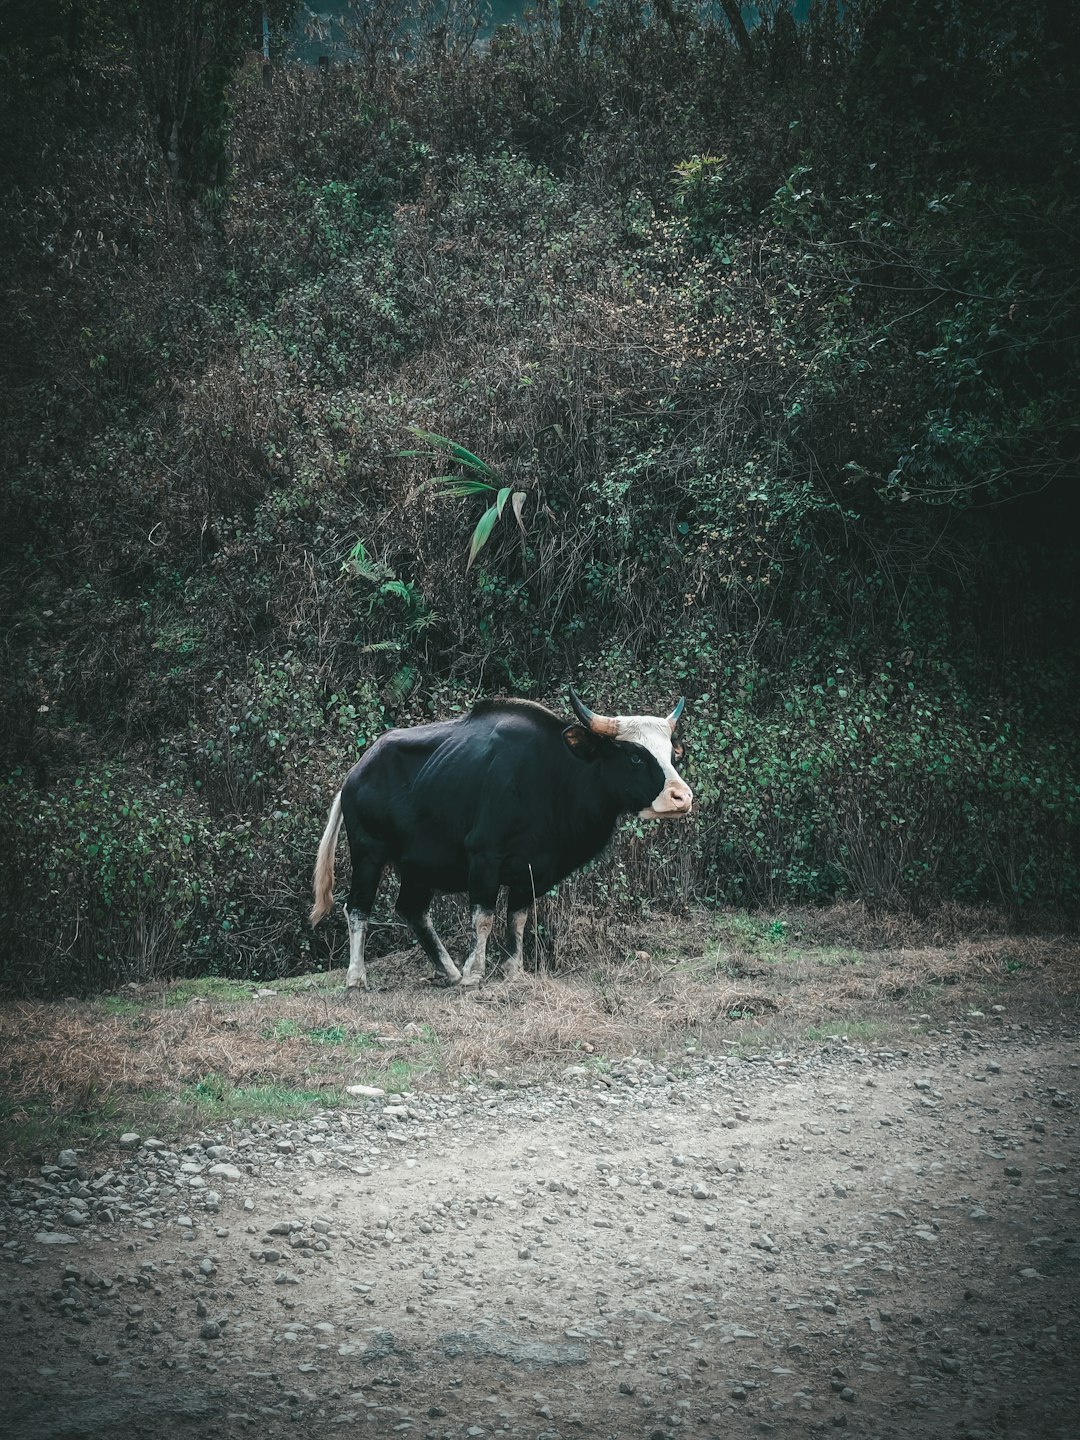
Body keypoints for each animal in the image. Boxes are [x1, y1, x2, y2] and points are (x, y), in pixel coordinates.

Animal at [309, 688, 692, 990]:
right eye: (635, 756)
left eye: (671, 755)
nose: (682, 798)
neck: (553, 777)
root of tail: (355, 774)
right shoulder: (484, 858)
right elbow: (484, 917)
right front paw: (475, 973)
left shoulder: (533, 869)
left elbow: (518, 918)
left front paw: (512, 969)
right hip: (367, 853)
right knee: (357, 908)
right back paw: (357, 977)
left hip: (417, 865)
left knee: (412, 909)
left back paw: (447, 971)